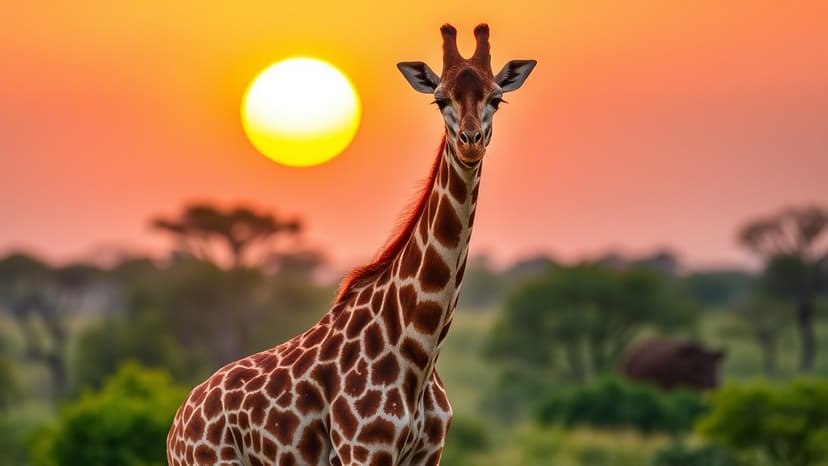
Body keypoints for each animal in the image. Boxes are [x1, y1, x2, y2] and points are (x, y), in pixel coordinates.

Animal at [167, 23, 535, 466]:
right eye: (440, 99)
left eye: (497, 98)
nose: (470, 142)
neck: (420, 348)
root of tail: (176, 426)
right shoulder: (362, 449)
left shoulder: (429, 453)